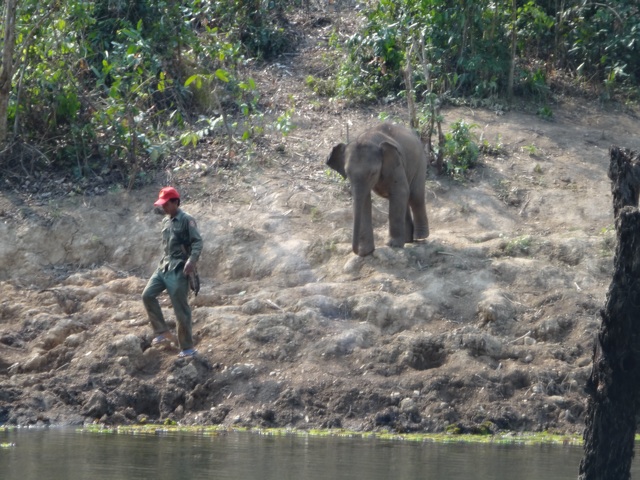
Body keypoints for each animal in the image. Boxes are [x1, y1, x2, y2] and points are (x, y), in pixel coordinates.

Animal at [324, 124, 430, 256]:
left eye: (373, 172)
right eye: (347, 173)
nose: (356, 251)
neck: (369, 139)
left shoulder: (395, 165)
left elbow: (401, 191)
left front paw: (392, 245)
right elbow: (365, 201)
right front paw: (365, 252)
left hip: (420, 162)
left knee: (415, 196)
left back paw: (420, 237)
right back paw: (407, 240)